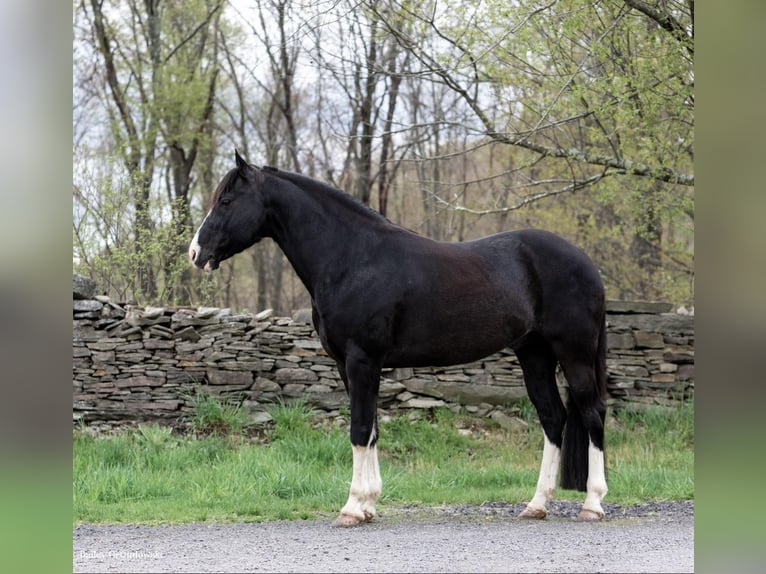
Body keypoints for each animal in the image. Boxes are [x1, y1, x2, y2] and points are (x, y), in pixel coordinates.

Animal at [189, 152, 608, 528]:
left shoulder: (362, 360)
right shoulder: (346, 364)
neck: (352, 259)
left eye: (226, 201)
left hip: (574, 354)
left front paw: (352, 508)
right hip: (534, 354)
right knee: (553, 418)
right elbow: (372, 429)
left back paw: (593, 504)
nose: (195, 252)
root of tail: (586, 263)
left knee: (593, 414)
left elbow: (359, 429)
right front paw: (369, 505)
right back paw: (537, 504)